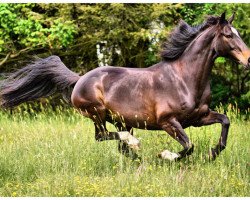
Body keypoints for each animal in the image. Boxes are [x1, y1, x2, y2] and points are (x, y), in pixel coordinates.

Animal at [0, 12, 249, 161]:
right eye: (228, 35)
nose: (248, 60)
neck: (184, 79)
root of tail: (79, 79)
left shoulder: (198, 118)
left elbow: (225, 122)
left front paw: (212, 153)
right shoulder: (168, 122)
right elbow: (188, 146)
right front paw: (165, 155)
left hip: (122, 120)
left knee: (117, 142)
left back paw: (137, 157)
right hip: (97, 113)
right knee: (103, 136)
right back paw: (136, 146)